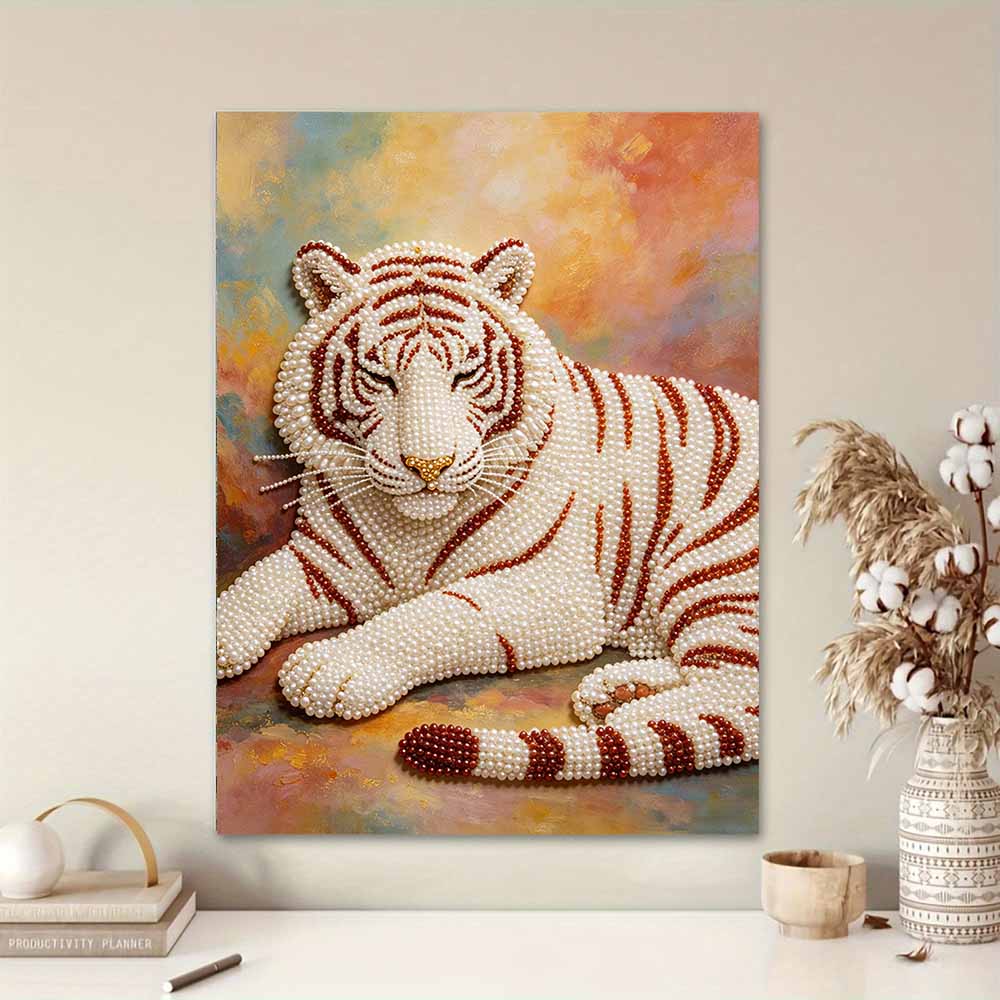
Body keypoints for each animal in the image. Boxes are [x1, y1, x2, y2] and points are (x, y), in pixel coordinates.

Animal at [217, 238, 759, 782]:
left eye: (465, 374)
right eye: (380, 377)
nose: (429, 465)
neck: (412, 529)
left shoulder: (555, 588)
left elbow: (436, 611)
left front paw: (335, 668)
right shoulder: (334, 563)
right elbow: (261, 582)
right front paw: (218, 635)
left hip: (712, 565)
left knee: (737, 695)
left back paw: (629, 716)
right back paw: (616, 692)